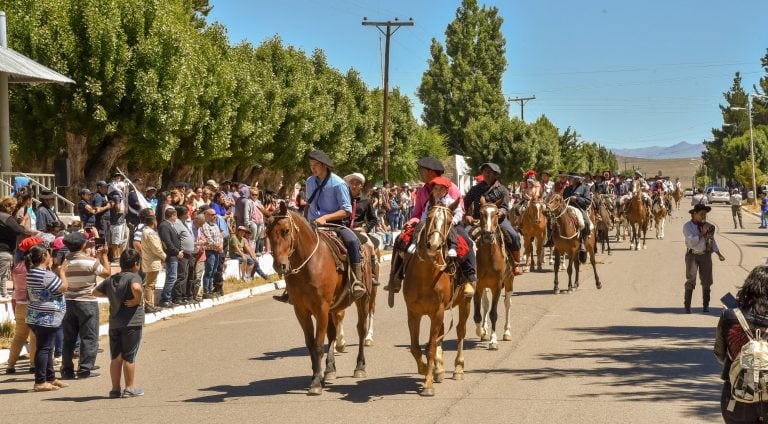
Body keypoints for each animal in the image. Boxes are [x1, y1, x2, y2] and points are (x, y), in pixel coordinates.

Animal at [266, 202, 374, 394]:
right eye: (267, 233)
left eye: (286, 230)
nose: (280, 265)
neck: (309, 264)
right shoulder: (301, 310)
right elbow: (311, 343)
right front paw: (317, 375)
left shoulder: (321, 307)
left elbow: (317, 344)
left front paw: (316, 383)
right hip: (333, 307)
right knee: (332, 334)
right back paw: (330, 370)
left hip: (363, 299)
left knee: (361, 329)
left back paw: (360, 367)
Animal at [402, 197, 474, 396]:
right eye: (428, 218)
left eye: (449, 222)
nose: (433, 246)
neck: (426, 276)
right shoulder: (413, 313)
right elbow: (415, 346)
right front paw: (424, 369)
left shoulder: (438, 311)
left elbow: (431, 347)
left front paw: (427, 384)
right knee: (441, 333)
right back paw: (439, 370)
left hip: (465, 303)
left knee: (460, 330)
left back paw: (458, 368)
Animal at [474, 197, 516, 350]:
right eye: (481, 213)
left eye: (496, 213)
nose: (487, 234)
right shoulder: (478, 286)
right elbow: (478, 314)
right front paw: (481, 331)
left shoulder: (497, 286)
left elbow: (493, 313)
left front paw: (493, 340)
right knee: (485, 304)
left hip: (509, 280)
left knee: (507, 303)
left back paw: (507, 332)